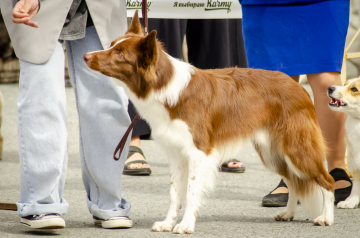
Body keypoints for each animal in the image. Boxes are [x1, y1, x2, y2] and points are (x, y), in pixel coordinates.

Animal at [83, 11, 334, 234]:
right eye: (111, 45)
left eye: (120, 54)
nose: (86, 56)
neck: (165, 86)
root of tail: (298, 87)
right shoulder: (175, 152)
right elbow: (175, 193)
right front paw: (168, 224)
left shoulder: (199, 152)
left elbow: (191, 191)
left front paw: (185, 225)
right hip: (271, 152)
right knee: (293, 181)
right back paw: (288, 213)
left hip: (296, 148)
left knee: (326, 181)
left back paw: (326, 218)